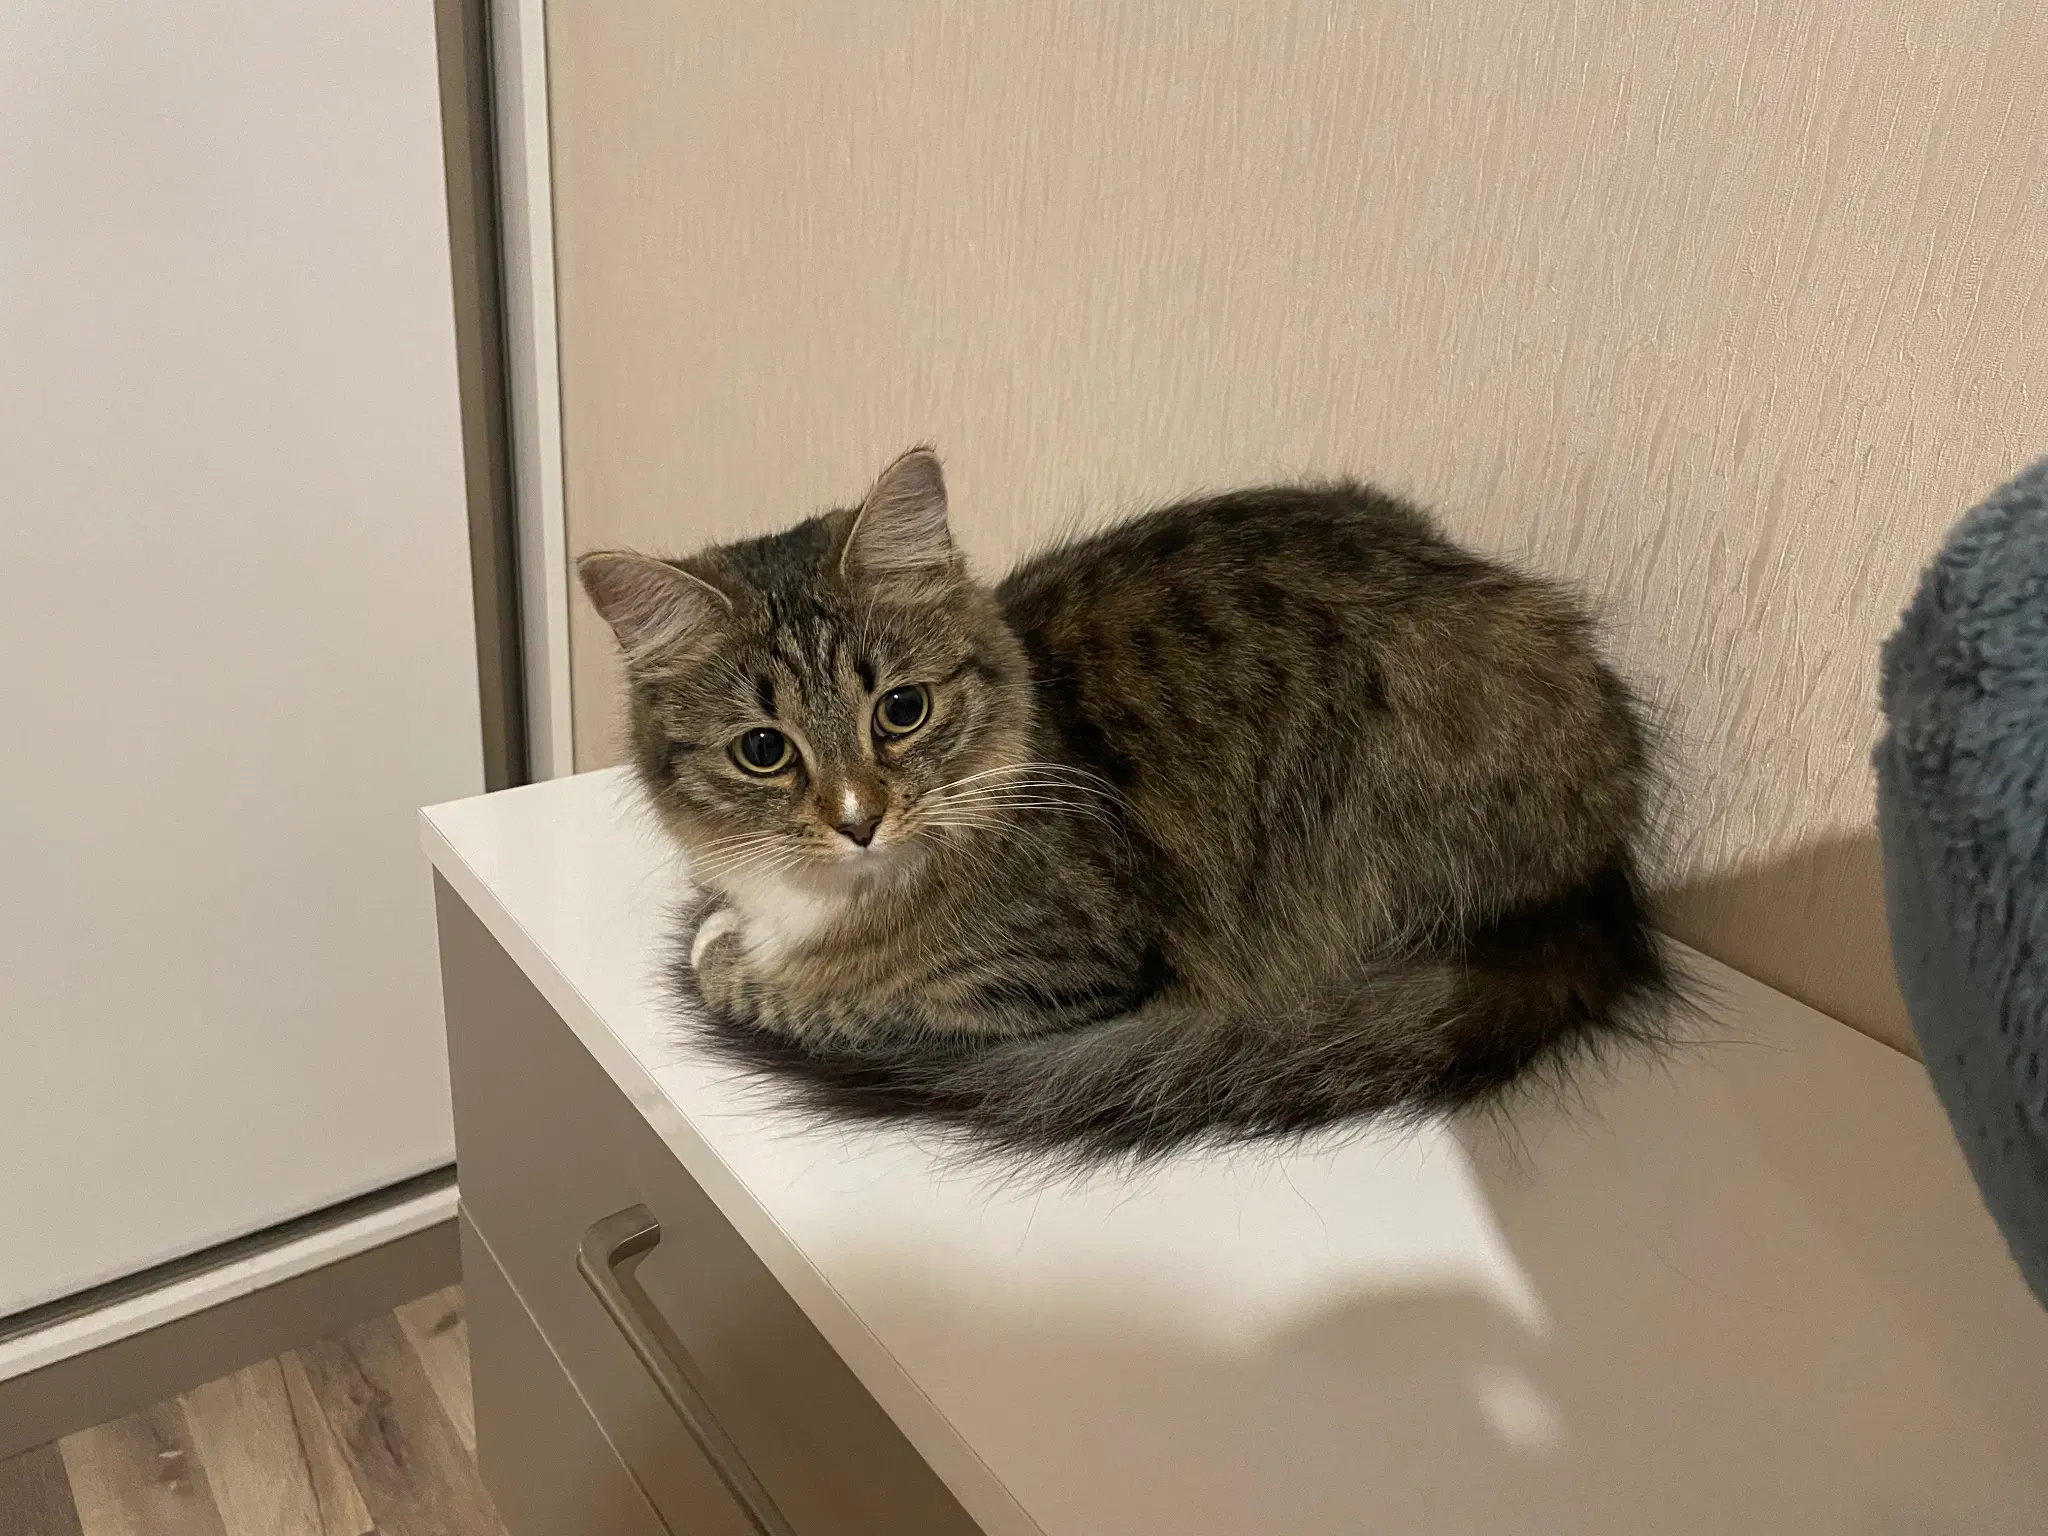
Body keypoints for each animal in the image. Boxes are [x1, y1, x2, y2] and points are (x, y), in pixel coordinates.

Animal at [585, 450, 1671, 1163]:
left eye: (901, 710)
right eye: (764, 751)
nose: (859, 820)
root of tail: (1603, 880)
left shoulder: (1053, 969)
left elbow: (820, 989)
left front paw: (732, 955)